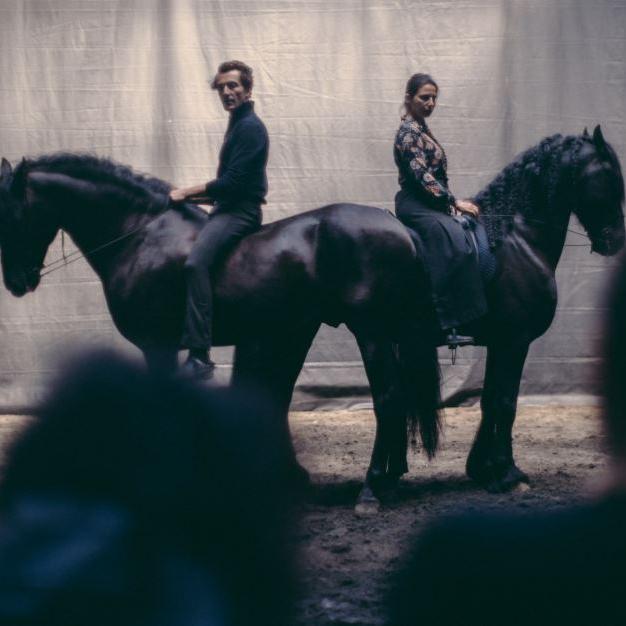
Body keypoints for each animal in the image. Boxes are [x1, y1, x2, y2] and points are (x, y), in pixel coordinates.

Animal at [0, 124, 620, 504]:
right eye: (610, 177)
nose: (17, 281)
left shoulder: (509, 340)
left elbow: (500, 402)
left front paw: (497, 472)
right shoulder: (511, 340)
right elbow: (501, 402)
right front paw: (499, 472)